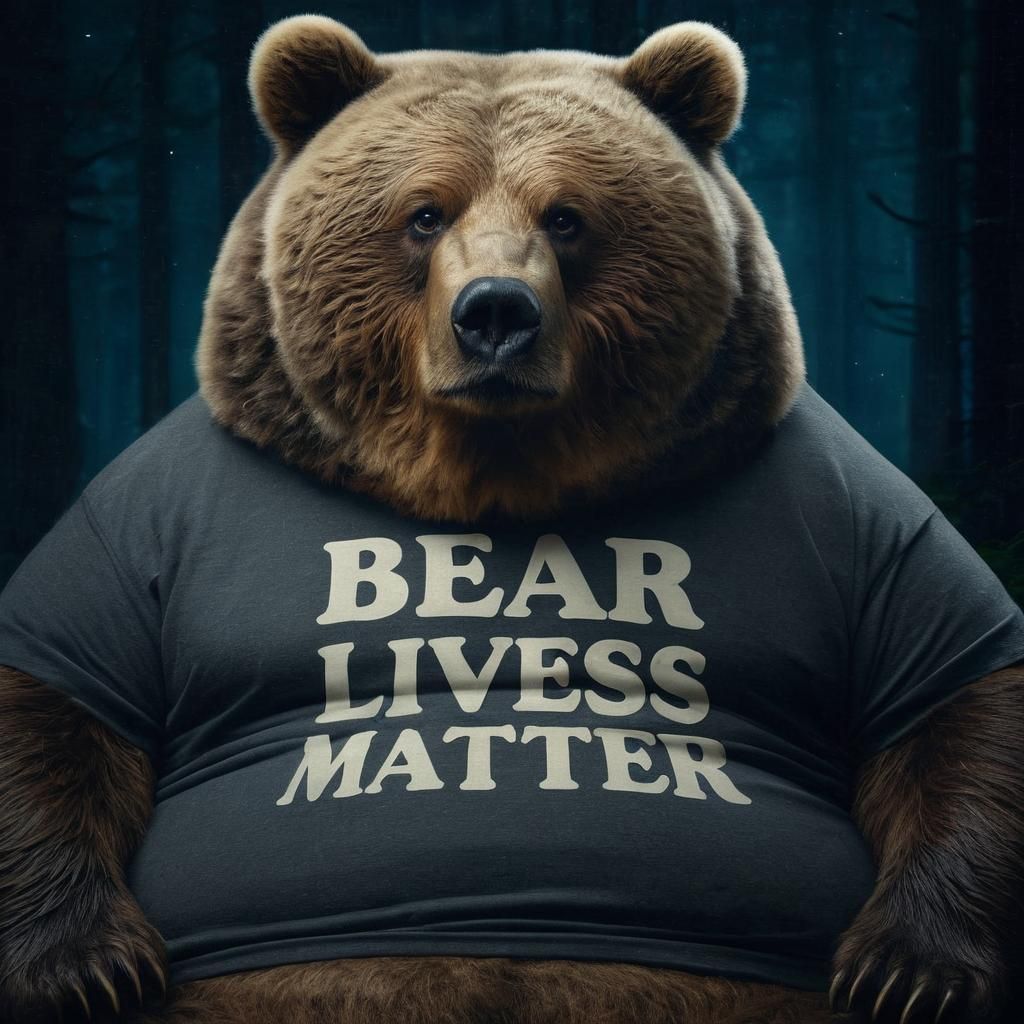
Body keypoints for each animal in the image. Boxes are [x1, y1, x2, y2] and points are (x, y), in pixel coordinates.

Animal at [1, 13, 1023, 1024]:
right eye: (424, 213)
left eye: (566, 216)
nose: (495, 313)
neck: (493, 475)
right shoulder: (154, 503)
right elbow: (60, 688)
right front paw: (92, 965)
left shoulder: (833, 499)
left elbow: (954, 690)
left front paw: (905, 969)